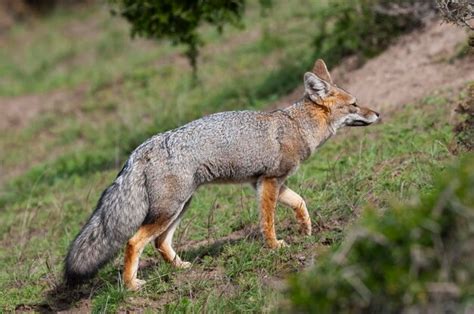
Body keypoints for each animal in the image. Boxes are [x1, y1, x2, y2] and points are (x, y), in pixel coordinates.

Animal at [65, 58, 380, 290]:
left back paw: (181, 267)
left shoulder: (265, 182)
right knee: (133, 242)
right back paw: (132, 286)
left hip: (180, 207)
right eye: (354, 103)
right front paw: (275, 246)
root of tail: (142, 148)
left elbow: (300, 202)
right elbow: (268, 221)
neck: (296, 125)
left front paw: (306, 229)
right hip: (169, 210)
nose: (378, 114)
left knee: (160, 242)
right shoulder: (269, 182)